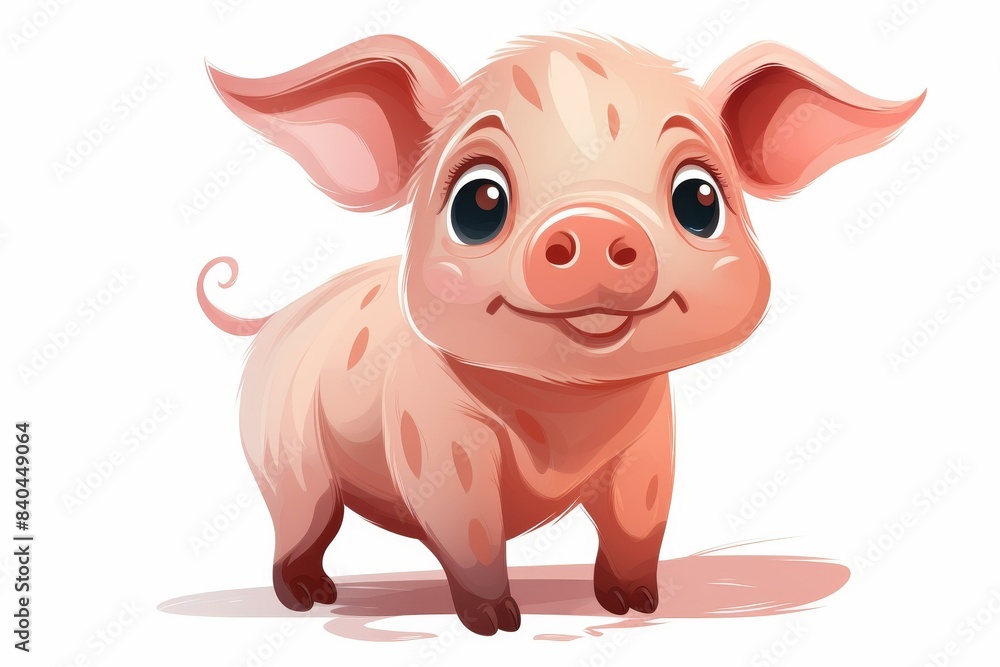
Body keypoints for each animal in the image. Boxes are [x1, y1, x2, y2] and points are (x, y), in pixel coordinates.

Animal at [197, 33, 923, 635]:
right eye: (478, 202)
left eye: (699, 199)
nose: (596, 222)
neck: (565, 406)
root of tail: (278, 317)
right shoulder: (434, 437)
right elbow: (469, 528)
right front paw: (497, 623)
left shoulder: (650, 438)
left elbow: (639, 518)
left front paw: (638, 606)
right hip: (283, 455)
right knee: (300, 521)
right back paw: (310, 598)